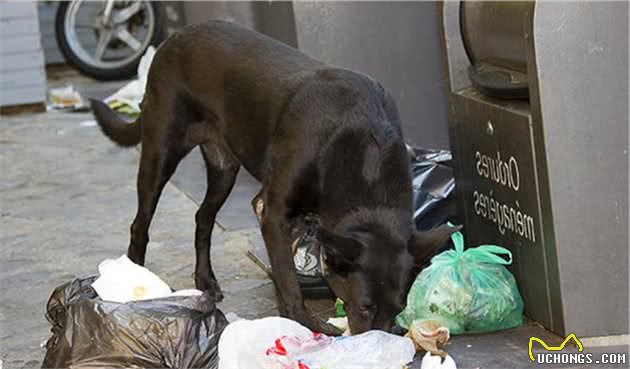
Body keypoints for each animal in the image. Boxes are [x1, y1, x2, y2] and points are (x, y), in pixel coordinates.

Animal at [92, 20, 460, 334]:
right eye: (365, 306)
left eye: (399, 308)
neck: (363, 150)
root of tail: (174, 37)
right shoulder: (272, 211)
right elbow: (286, 278)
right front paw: (302, 322)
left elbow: (283, 275)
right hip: (160, 152)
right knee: (140, 223)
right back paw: (130, 280)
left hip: (224, 169)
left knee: (203, 218)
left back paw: (205, 280)